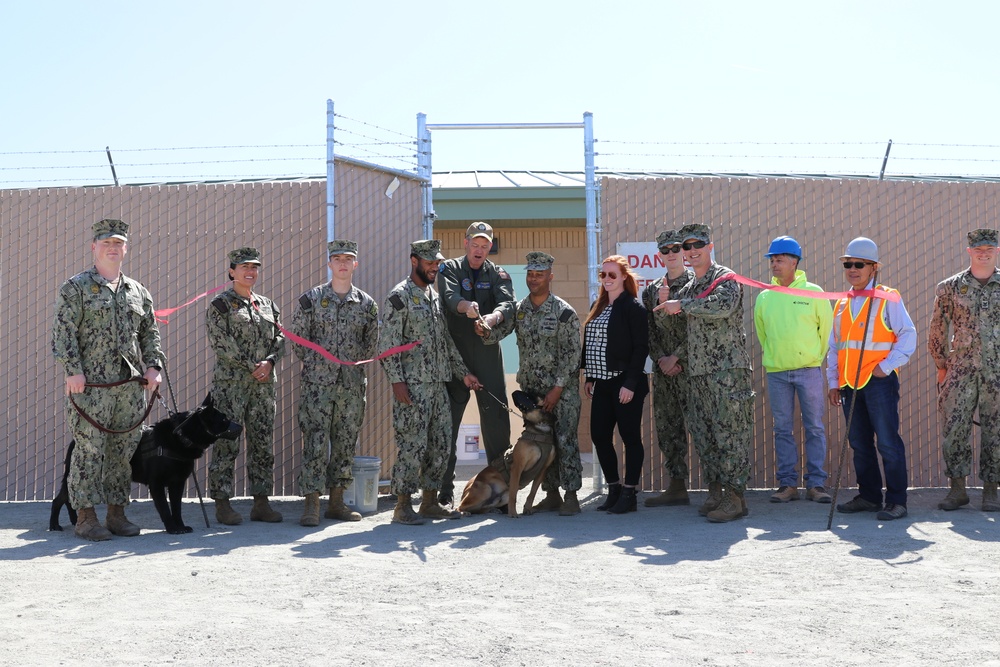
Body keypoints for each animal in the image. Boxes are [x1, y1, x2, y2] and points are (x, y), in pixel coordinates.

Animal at [51, 394, 244, 536]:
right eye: (224, 419)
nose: (241, 427)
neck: (180, 437)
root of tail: (74, 441)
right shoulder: (156, 485)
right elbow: (165, 508)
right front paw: (172, 528)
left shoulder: (177, 484)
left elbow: (177, 508)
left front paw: (181, 526)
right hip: (83, 473)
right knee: (60, 499)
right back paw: (54, 525)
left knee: (69, 498)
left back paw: (74, 520)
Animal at [458, 388, 560, 520]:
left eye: (531, 394)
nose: (515, 391)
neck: (540, 430)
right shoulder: (517, 467)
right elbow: (513, 494)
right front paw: (512, 513)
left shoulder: (543, 469)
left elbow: (532, 493)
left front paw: (527, 508)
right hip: (485, 489)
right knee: (459, 506)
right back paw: (463, 513)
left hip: (500, 497)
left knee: (481, 509)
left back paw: (493, 510)